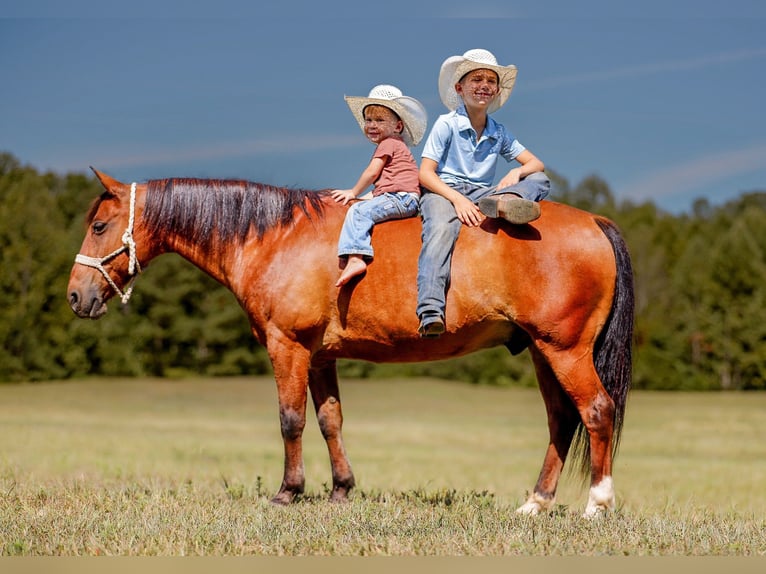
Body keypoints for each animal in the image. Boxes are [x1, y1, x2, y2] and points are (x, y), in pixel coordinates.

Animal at [67, 169, 634, 517]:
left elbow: (290, 420)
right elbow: (329, 421)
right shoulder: (320, 357)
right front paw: (340, 490)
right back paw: (535, 504)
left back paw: (598, 504)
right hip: (541, 351)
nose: (76, 296)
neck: (273, 236)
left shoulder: (288, 347)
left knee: (597, 411)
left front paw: (288, 492)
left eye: (99, 225)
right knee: (561, 421)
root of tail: (596, 221)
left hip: (564, 350)